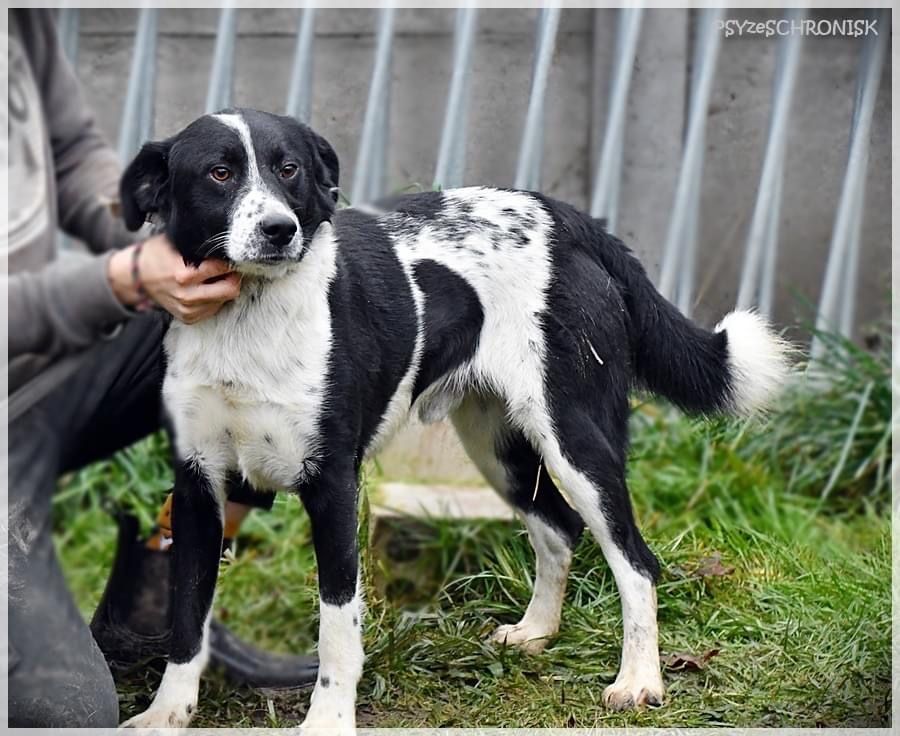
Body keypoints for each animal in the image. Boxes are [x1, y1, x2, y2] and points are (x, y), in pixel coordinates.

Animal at [118, 108, 788, 732]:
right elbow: (186, 615)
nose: (280, 230)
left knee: (636, 561)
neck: (247, 318)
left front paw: (329, 719)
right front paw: (166, 712)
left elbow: (337, 623)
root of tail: (565, 218)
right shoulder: (198, 487)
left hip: (574, 440)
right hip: (497, 447)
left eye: (290, 169)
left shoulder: (333, 486)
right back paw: (537, 631)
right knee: (559, 529)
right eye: (219, 173)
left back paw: (640, 681)